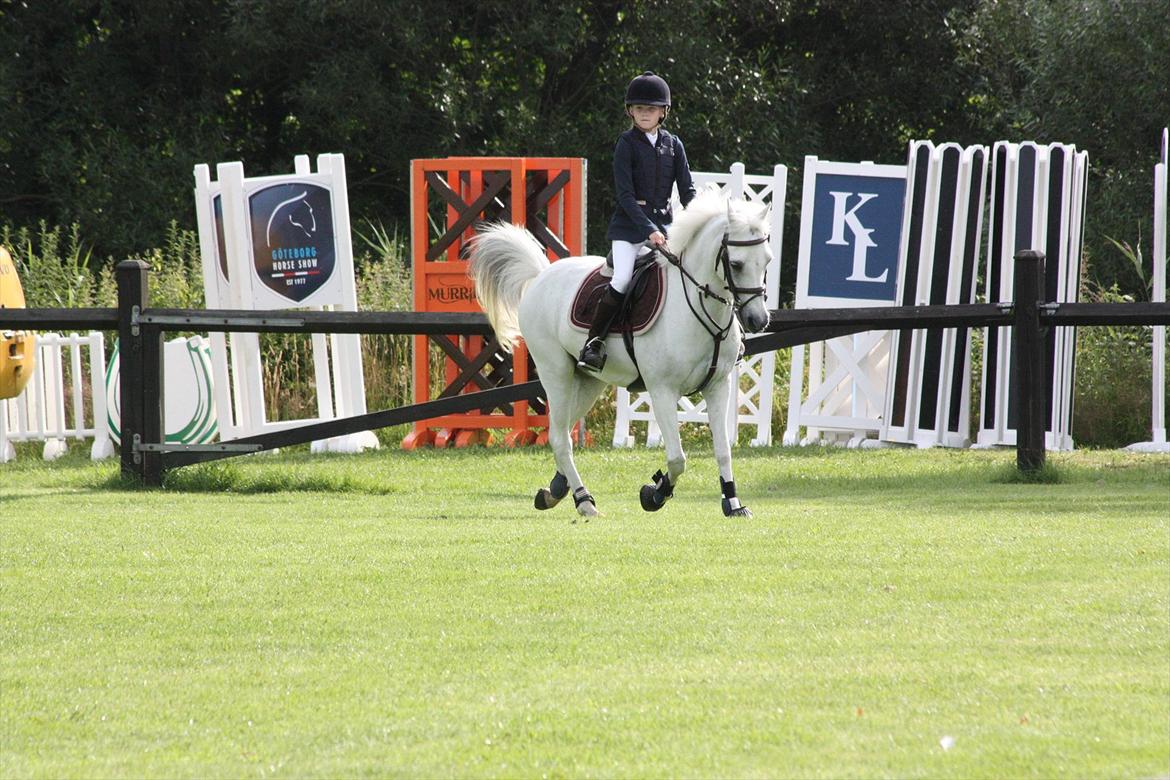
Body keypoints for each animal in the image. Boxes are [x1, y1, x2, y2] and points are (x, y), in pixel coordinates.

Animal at [470, 188, 772, 519]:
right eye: (737, 264)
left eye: (767, 261)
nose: (758, 320)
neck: (698, 306)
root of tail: (541, 276)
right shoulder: (662, 390)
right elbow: (677, 458)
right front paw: (655, 493)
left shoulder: (718, 386)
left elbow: (723, 451)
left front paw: (733, 503)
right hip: (556, 373)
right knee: (559, 437)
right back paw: (583, 500)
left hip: (589, 380)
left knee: (563, 431)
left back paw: (555, 491)